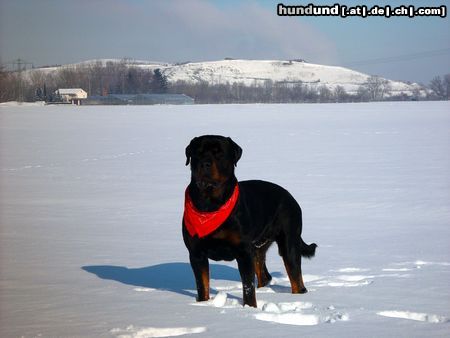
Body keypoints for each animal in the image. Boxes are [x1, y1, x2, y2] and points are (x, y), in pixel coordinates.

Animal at [183, 135, 316, 306]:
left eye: (219, 153)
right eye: (197, 152)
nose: (204, 163)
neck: (210, 204)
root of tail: (290, 197)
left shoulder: (243, 252)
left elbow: (248, 287)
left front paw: (249, 307)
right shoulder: (196, 253)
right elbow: (202, 285)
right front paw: (202, 304)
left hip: (289, 242)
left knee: (296, 278)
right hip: (258, 248)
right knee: (264, 275)